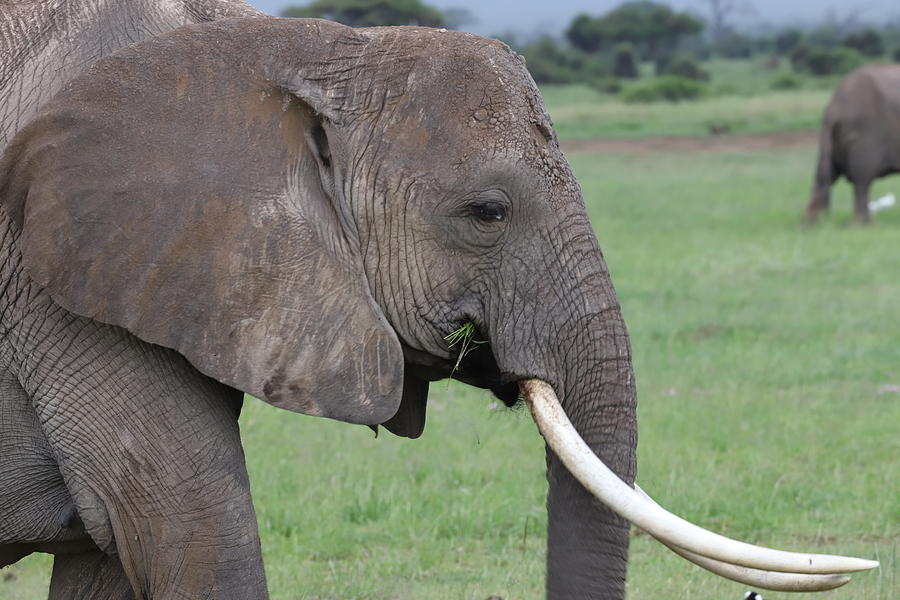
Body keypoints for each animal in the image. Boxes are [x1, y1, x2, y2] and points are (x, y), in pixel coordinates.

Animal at [804, 63, 900, 224]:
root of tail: (832, 109)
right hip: (865, 133)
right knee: (862, 180)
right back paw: (863, 224)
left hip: (837, 141)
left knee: (824, 176)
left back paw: (808, 224)